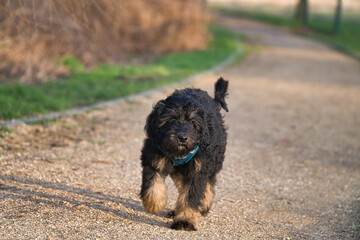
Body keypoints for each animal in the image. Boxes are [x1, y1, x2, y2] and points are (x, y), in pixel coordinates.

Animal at [140, 77, 228, 231]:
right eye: (170, 120)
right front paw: (154, 204)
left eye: (192, 123)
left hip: (213, 161)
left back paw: (203, 205)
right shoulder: (153, 158)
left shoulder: (199, 168)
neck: (178, 153)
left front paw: (185, 221)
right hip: (180, 172)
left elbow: (191, 196)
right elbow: (152, 184)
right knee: (183, 187)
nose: (182, 137)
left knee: (209, 184)